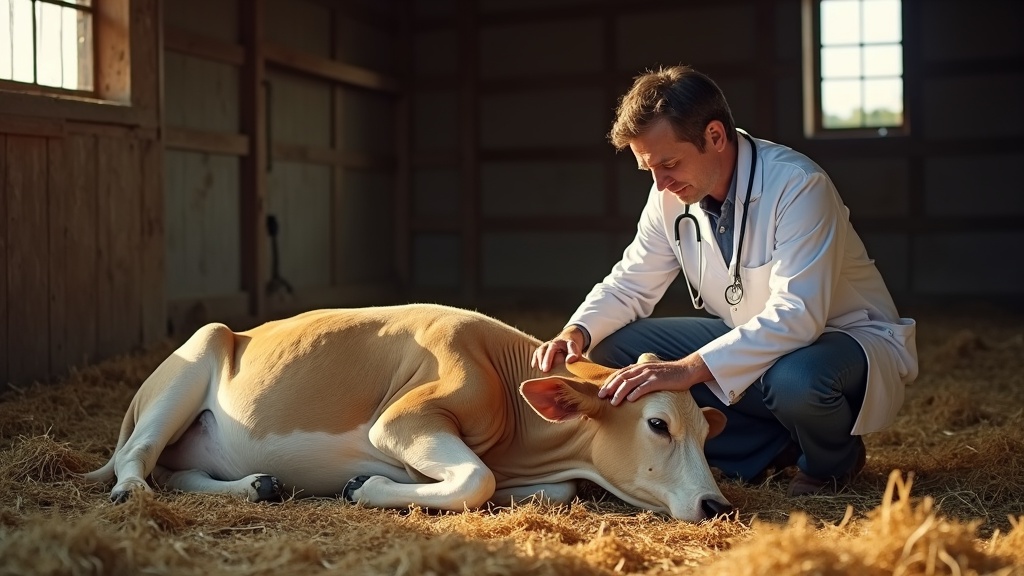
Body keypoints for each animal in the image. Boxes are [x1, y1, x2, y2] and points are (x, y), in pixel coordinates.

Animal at [83, 305, 733, 520]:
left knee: (181, 473)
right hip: (194, 357)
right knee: (139, 455)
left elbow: (556, 489)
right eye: (658, 424)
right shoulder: (403, 421)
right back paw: (129, 491)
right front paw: (364, 488)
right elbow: (476, 478)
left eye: (707, 433)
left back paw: (257, 486)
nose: (716, 505)